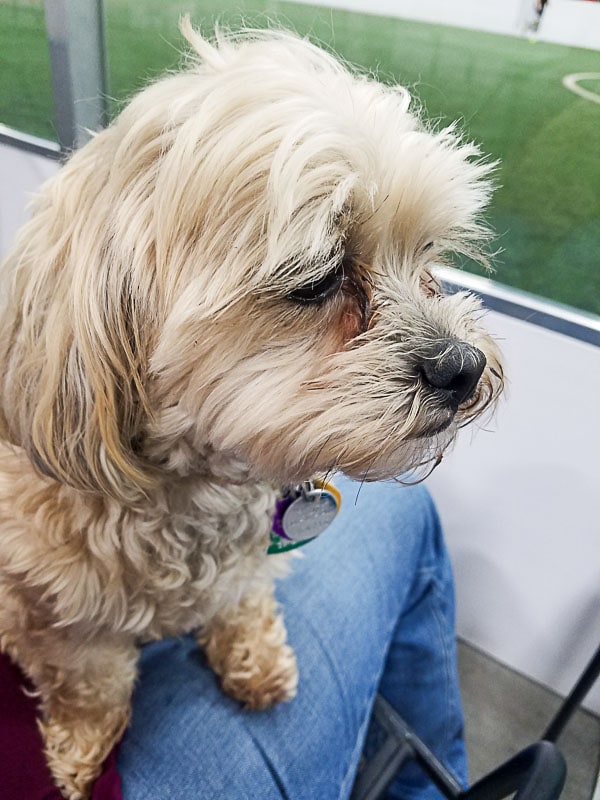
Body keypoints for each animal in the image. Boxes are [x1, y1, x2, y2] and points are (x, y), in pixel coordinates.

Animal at [0, 20, 504, 800]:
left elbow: (242, 599)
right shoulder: (56, 616)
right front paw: (83, 754)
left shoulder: (247, 562)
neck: (189, 491)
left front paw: (255, 660)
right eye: (317, 276)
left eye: (427, 257)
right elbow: (91, 684)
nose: (464, 366)